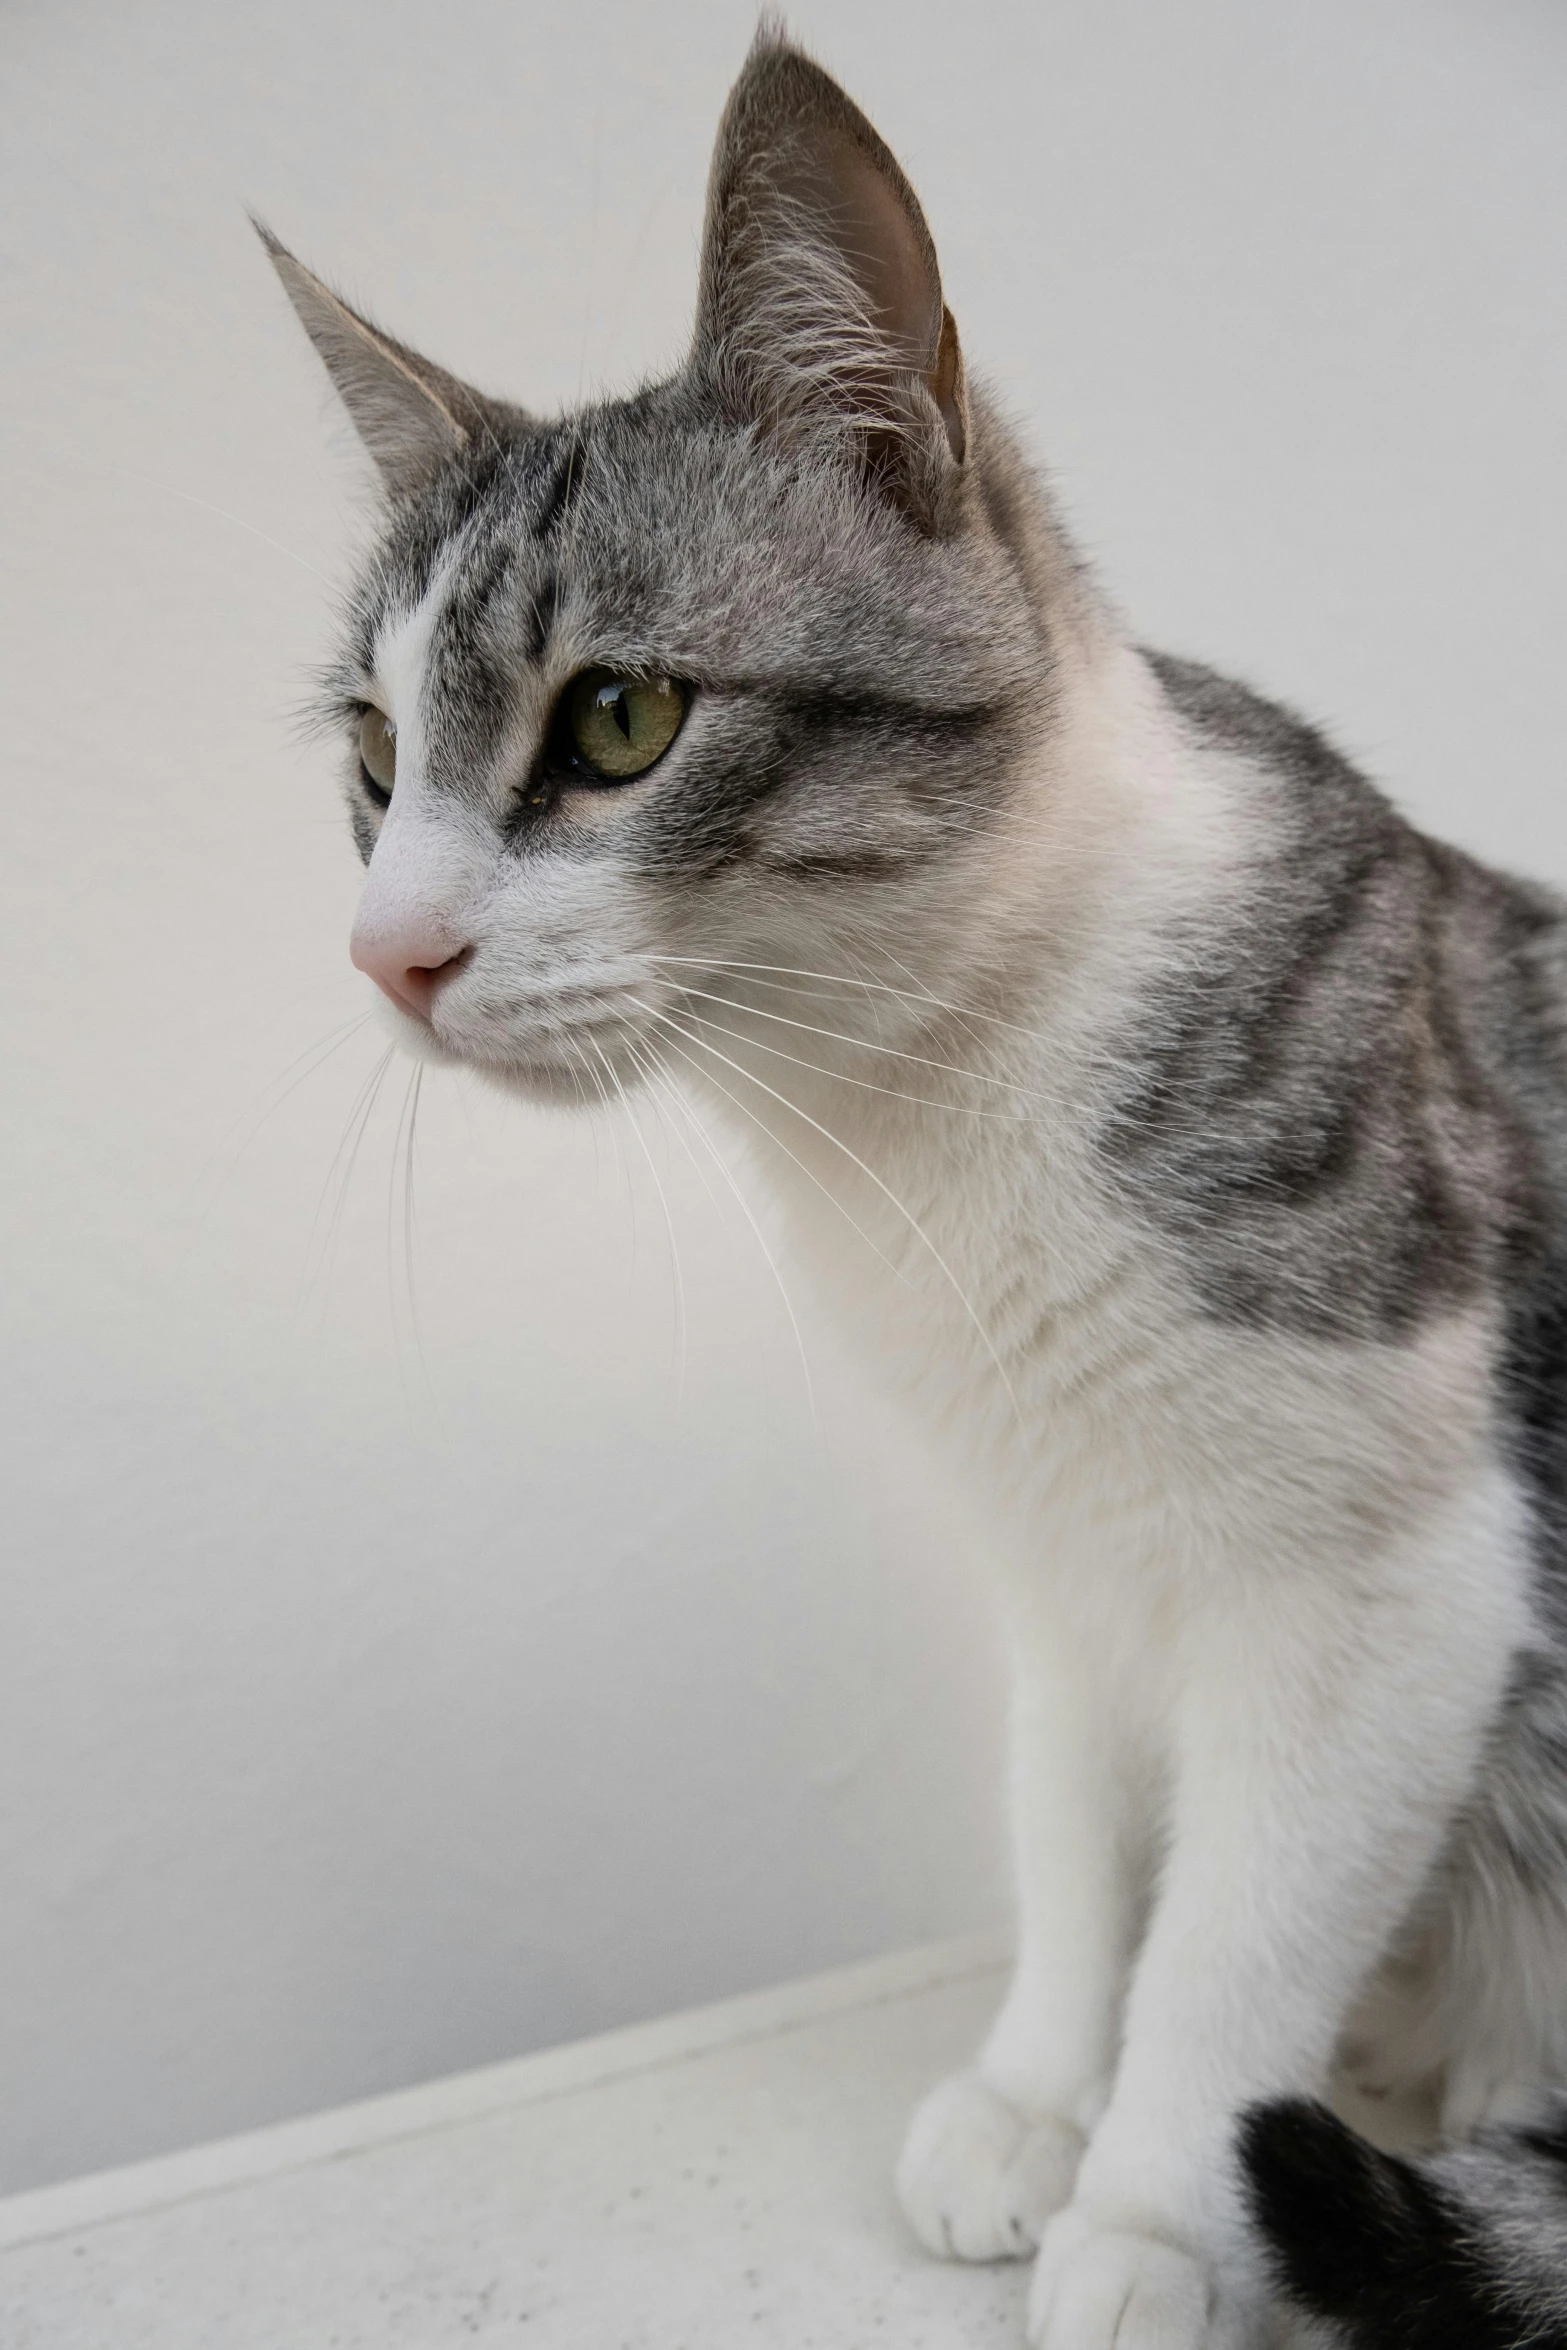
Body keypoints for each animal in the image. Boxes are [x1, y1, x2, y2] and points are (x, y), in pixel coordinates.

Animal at [263, 22, 1567, 2350]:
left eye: (618, 716)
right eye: (372, 757)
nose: (381, 952)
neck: (921, 1125)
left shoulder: (1392, 1596)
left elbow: (1237, 1936)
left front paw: (1154, 2213)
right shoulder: (1056, 1554)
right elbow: (1068, 1829)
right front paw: (1039, 2093)